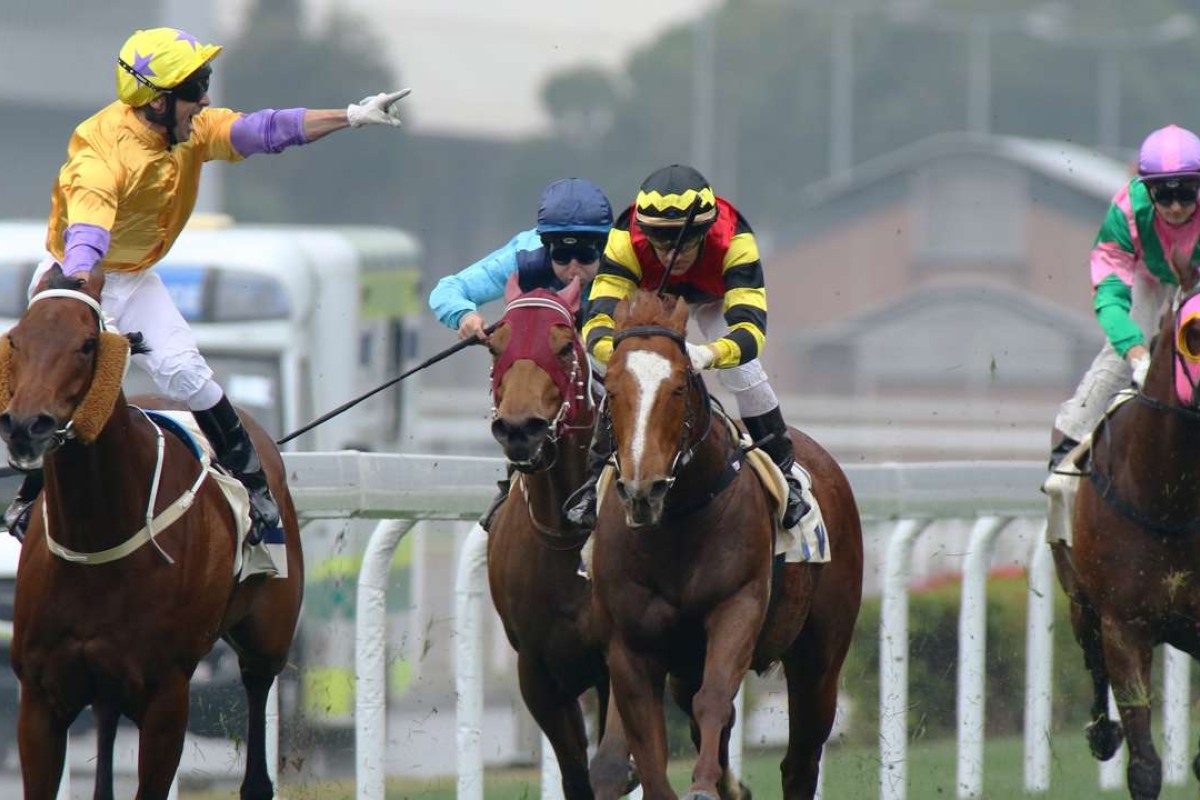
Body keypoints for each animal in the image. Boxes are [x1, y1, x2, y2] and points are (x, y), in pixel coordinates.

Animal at [0, 266, 304, 796]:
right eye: (15, 339)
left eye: (86, 344)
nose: (25, 426)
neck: (95, 537)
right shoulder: (40, 699)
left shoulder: (166, 696)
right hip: (104, 692)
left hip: (267, 639)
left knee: (257, 704)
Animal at [484, 277, 633, 800]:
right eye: (495, 344)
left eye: (565, 346)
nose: (520, 429)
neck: (568, 533)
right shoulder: (538, 673)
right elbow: (576, 775)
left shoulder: (623, 657)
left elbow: (614, 768)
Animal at [583, 291, 859, 800]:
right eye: (610, 389)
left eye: (678, 387)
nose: (643, 490)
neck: (675, 522)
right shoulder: (629, 646)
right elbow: (649, 751)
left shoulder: (738, 606)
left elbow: (714, 698)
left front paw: (703, 785)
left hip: (820, 655)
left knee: (799, 760)